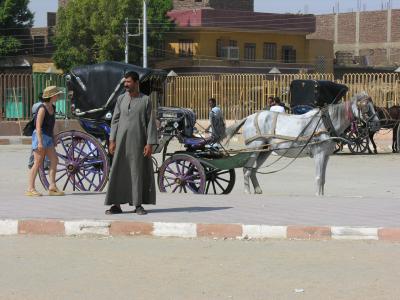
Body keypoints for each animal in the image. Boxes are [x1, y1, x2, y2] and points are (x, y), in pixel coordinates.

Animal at [225, 92, 378, 196]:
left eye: (374, 106)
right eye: (365, 108)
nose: (377, 123)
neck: (325, 123)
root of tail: (249, 117)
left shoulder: (326, 155)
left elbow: (323, 178)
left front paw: (322, 195)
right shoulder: (319, 154)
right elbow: (318, 178)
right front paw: (318, 195)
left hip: (265, 151)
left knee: (253, 170)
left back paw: (258, 190)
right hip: (254, 149)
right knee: (246, 170)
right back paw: (247, 192)